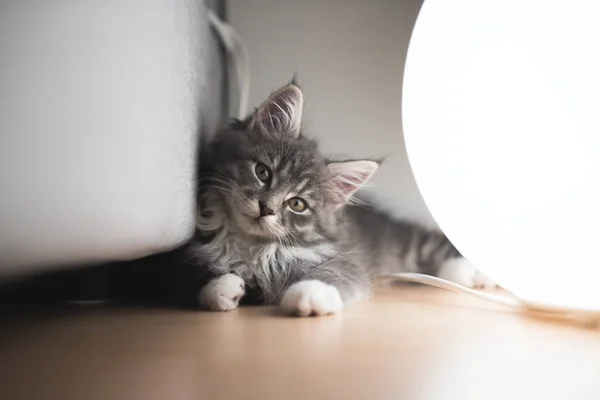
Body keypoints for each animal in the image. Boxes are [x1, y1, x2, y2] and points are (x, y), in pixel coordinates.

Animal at [188, 79, 492, 318]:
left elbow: (332, 276)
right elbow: (200, 278)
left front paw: (308, 295)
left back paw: (476, 273)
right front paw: (220, 287)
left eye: (297, 204)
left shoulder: (341, 259)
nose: (266, 208)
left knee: (435, 246)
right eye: (263, 172)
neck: (252, 245)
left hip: (409, 244)